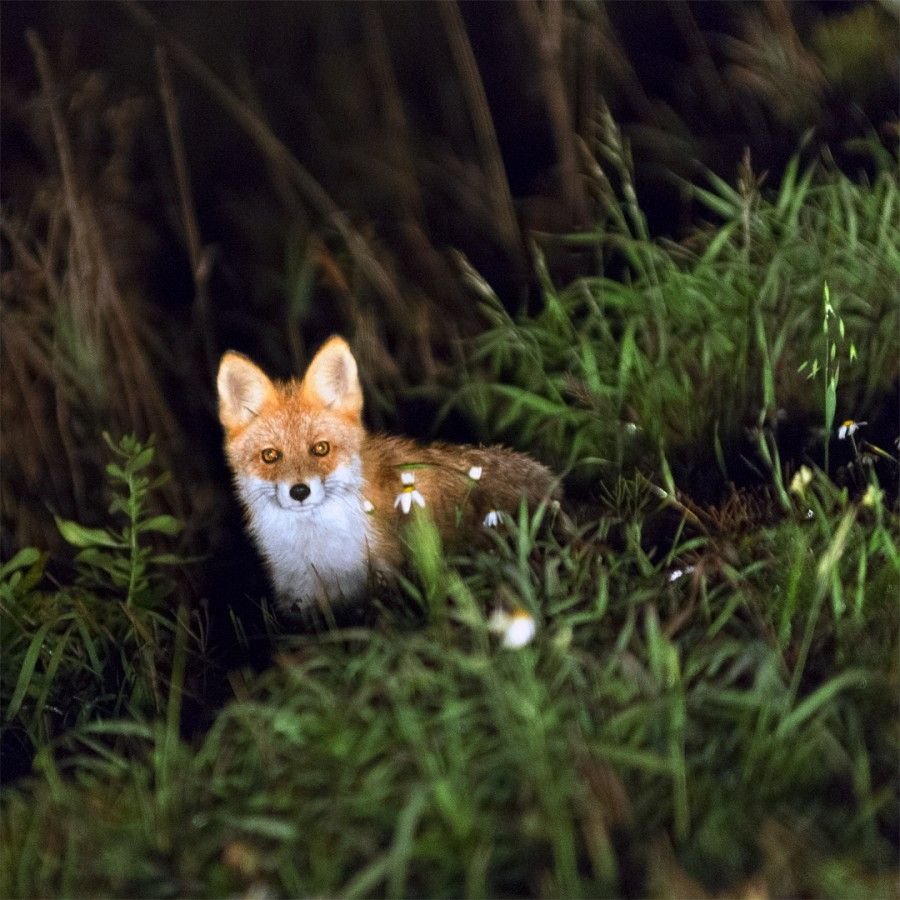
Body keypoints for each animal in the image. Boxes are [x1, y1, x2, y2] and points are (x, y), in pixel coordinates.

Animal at [217, 338, 560, 620]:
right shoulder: (300, 602)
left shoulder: (382, 579)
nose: (299, 491)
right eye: (270, 456)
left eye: (320, 449)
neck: (317, 550)